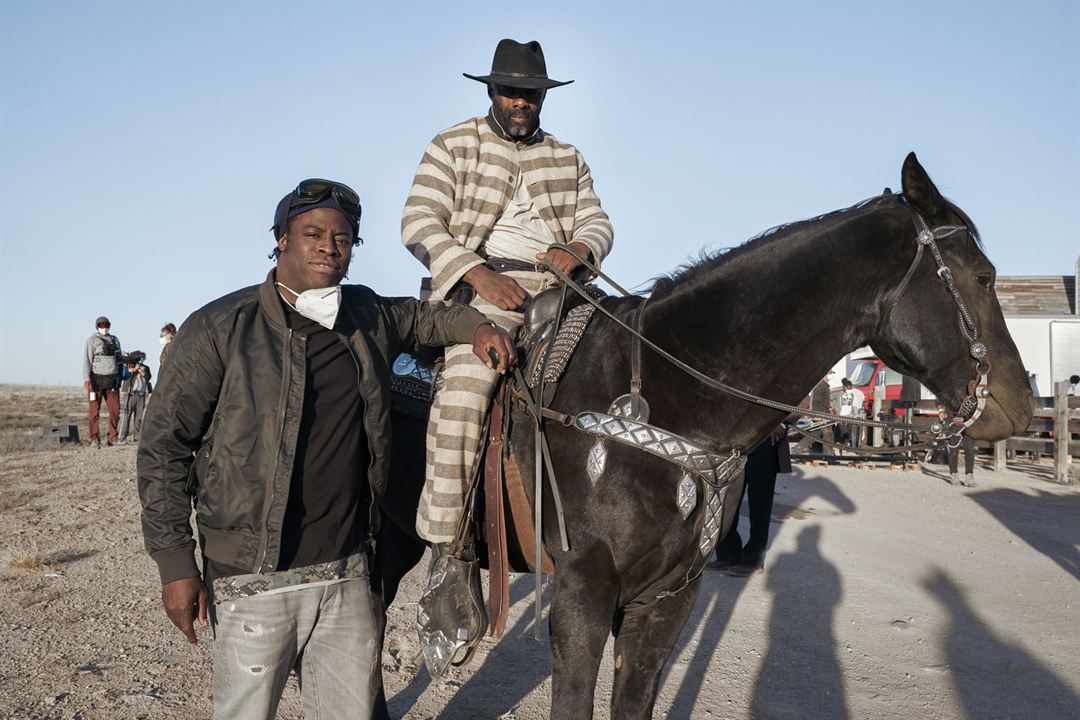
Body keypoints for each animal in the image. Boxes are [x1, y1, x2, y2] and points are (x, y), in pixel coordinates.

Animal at [375, 155, 1032, 720]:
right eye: (983, 275)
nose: (1020, 404)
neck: (673, 393)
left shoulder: (668, 597)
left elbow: (634, 702)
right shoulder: (583, 592)